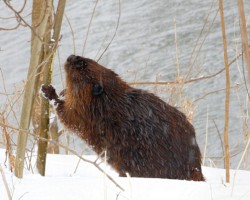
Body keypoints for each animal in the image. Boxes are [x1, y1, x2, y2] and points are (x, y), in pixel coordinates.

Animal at [41, 54, 205, 181]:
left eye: (82, 65)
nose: (71, 57)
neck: (107, 100)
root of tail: (196, 170)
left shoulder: (85, 114)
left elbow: (69, 118)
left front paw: (49, 91)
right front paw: (62, 91)